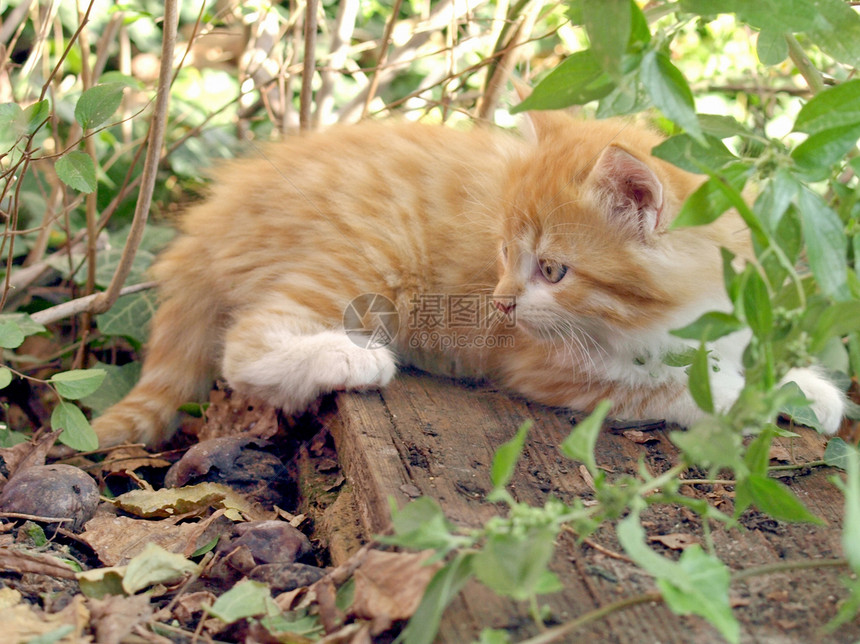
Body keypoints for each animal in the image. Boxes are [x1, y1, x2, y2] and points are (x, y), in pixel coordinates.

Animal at [90, 110, 844, 446]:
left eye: (551, 268)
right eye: (506, 254)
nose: (503, 304)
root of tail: (212, 218)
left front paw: (803, 386)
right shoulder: (543, 365)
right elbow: (662, 383)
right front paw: (744, 395)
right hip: (369, 246)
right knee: (245, 344)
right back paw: (349, 357)